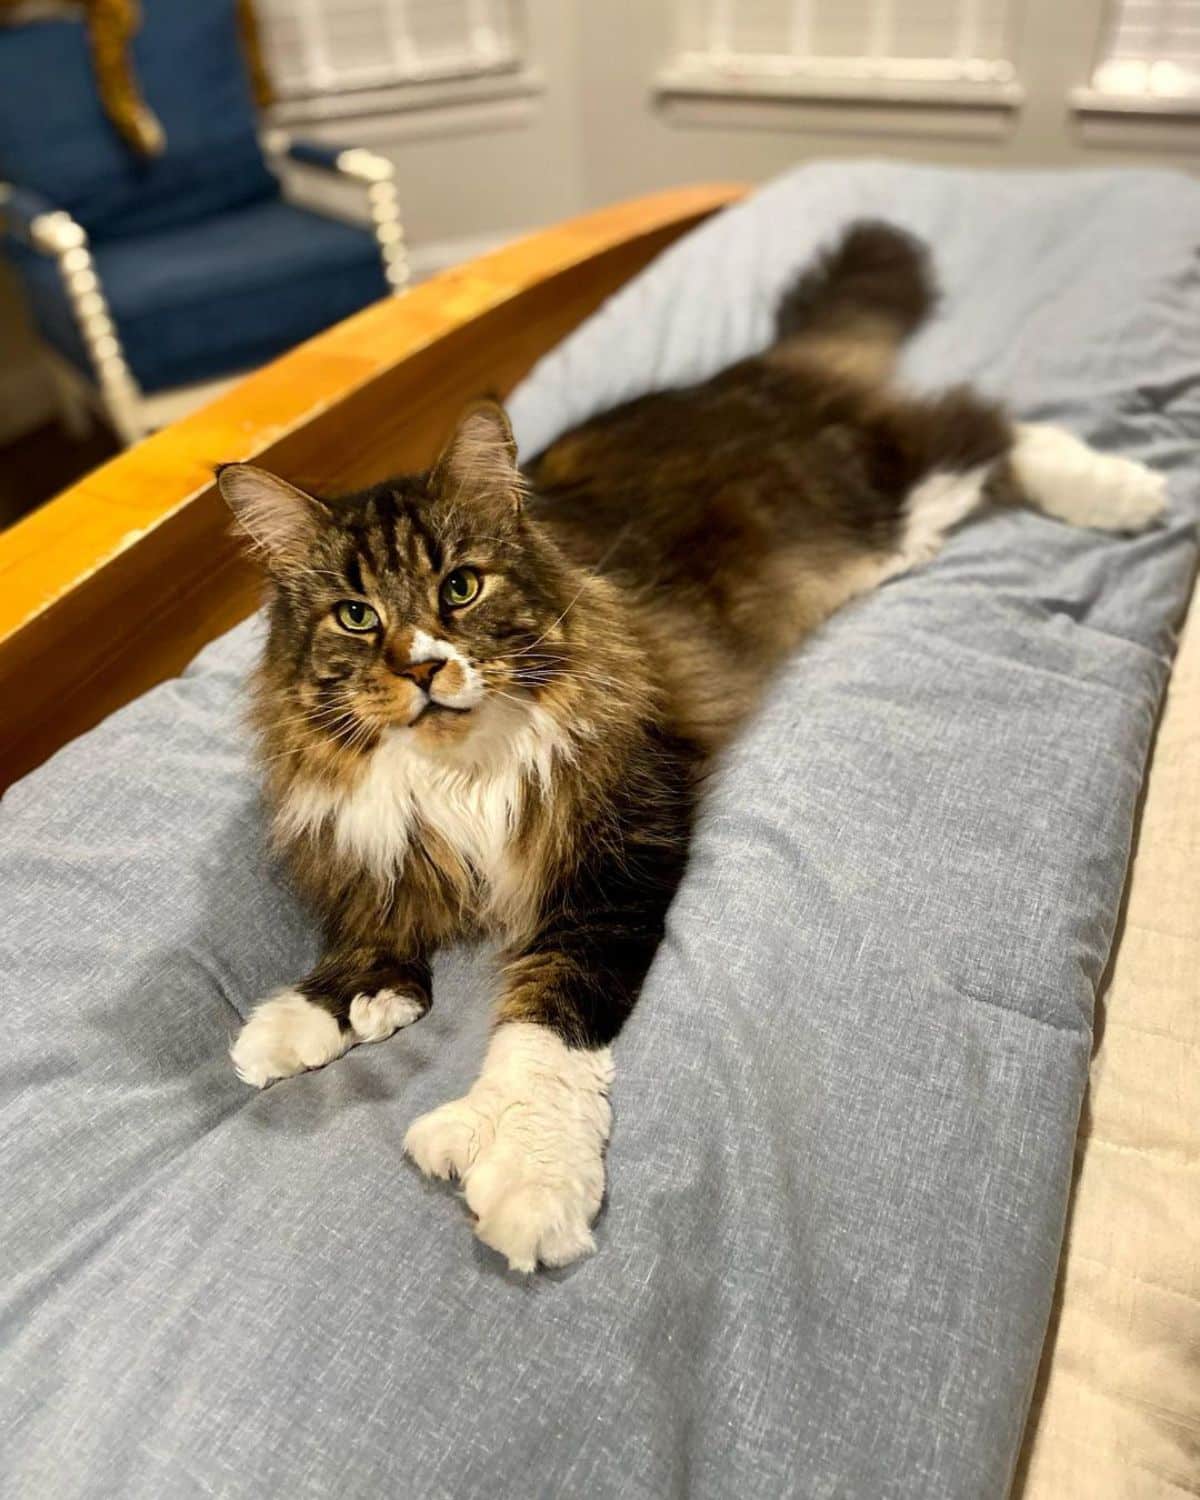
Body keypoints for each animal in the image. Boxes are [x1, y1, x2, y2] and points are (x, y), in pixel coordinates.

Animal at [216, 222, 1164, 1272]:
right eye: (356, 615)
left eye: (460, 588)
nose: (424, 668)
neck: (458, 773)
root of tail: (753, 368)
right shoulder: (381, 843)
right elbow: (368, 932)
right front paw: (311, 1015)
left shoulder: (617, 842)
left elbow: (548, 1020)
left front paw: (527, 1175)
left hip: (890, 493)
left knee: (982, 421)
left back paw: (1125, 490)